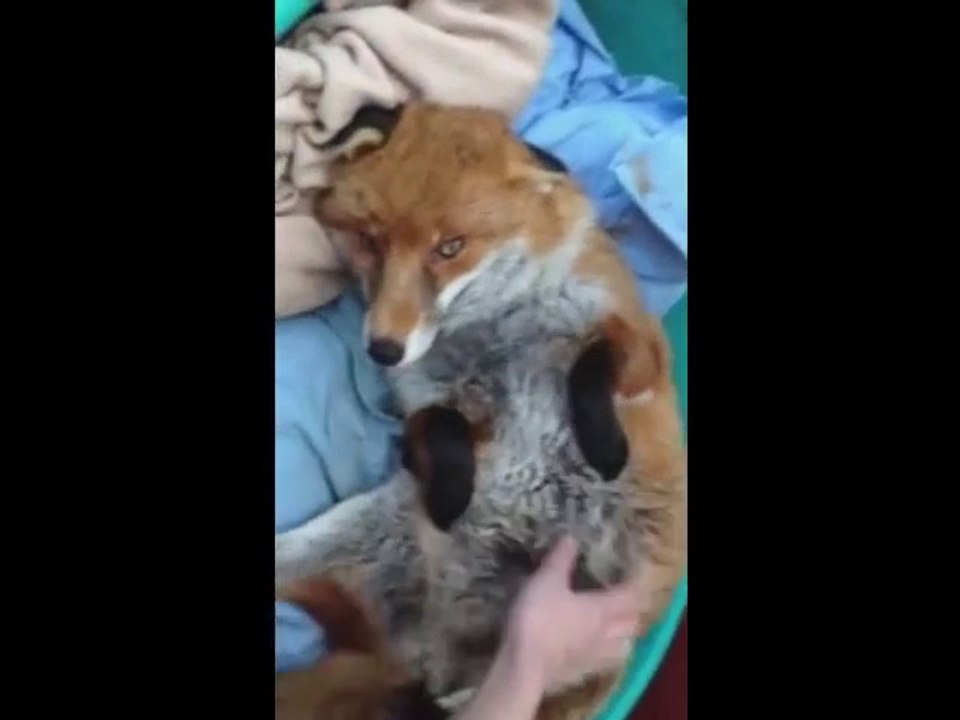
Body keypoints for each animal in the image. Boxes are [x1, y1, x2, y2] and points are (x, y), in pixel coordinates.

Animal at [275, 102, 687, 720]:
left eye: (450, 247)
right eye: (370, 240)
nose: (383, 349)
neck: (493, 326)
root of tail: (422, 658)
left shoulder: (640, 348)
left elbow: (592, 364)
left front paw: (606, 446)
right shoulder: (422, 403)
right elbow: (442, 427)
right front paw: (450, 494)